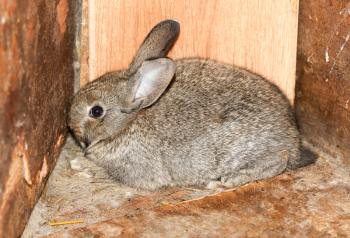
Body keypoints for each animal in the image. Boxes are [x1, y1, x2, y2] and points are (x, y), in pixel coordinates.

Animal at [67, 19, 312, 191]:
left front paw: (79, 164)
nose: (70, 124)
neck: (128, 123)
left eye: (96, 111)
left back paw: (226, 181)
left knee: (278, 160)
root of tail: (292, 138)